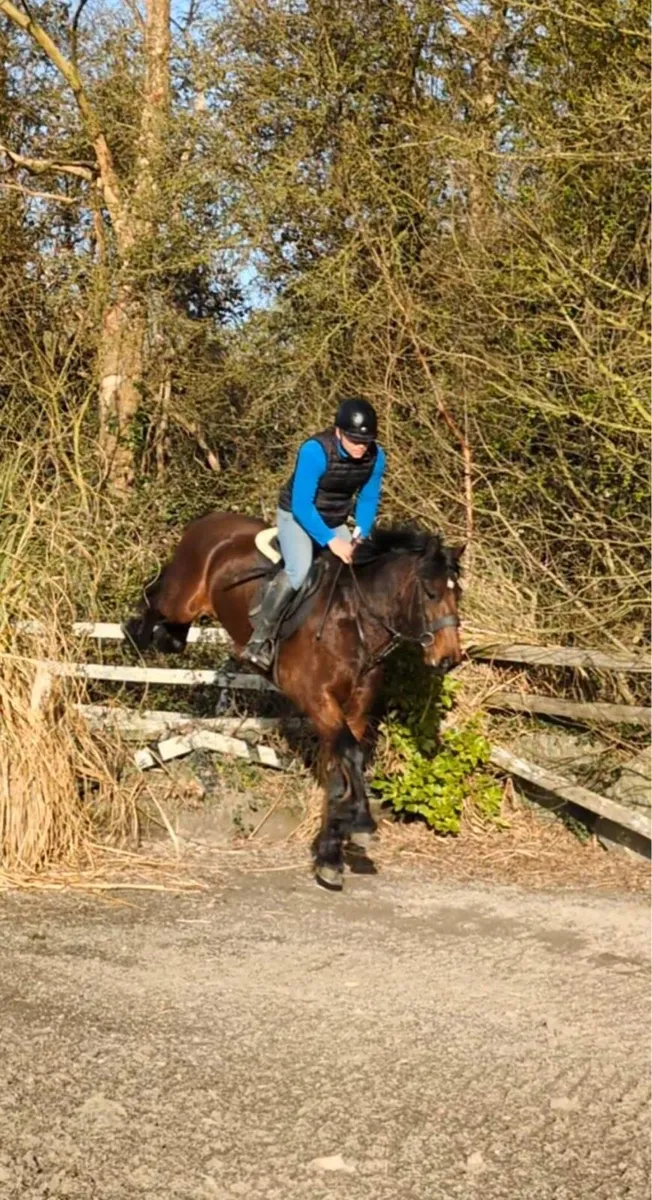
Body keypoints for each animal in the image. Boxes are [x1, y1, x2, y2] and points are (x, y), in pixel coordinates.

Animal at [124, 511, 464, 889]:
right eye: (431, 594)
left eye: (458, 595)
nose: (449, 659)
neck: (354, 620)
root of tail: (209, 521)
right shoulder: (316, 699)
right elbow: (350, 756)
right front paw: (362, 824)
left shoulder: (355, 709)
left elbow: (339, 772)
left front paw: (329, 856)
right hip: (183, 598)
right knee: (155, 597)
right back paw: (136, 633)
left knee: (169, 623)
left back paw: (167, 639)